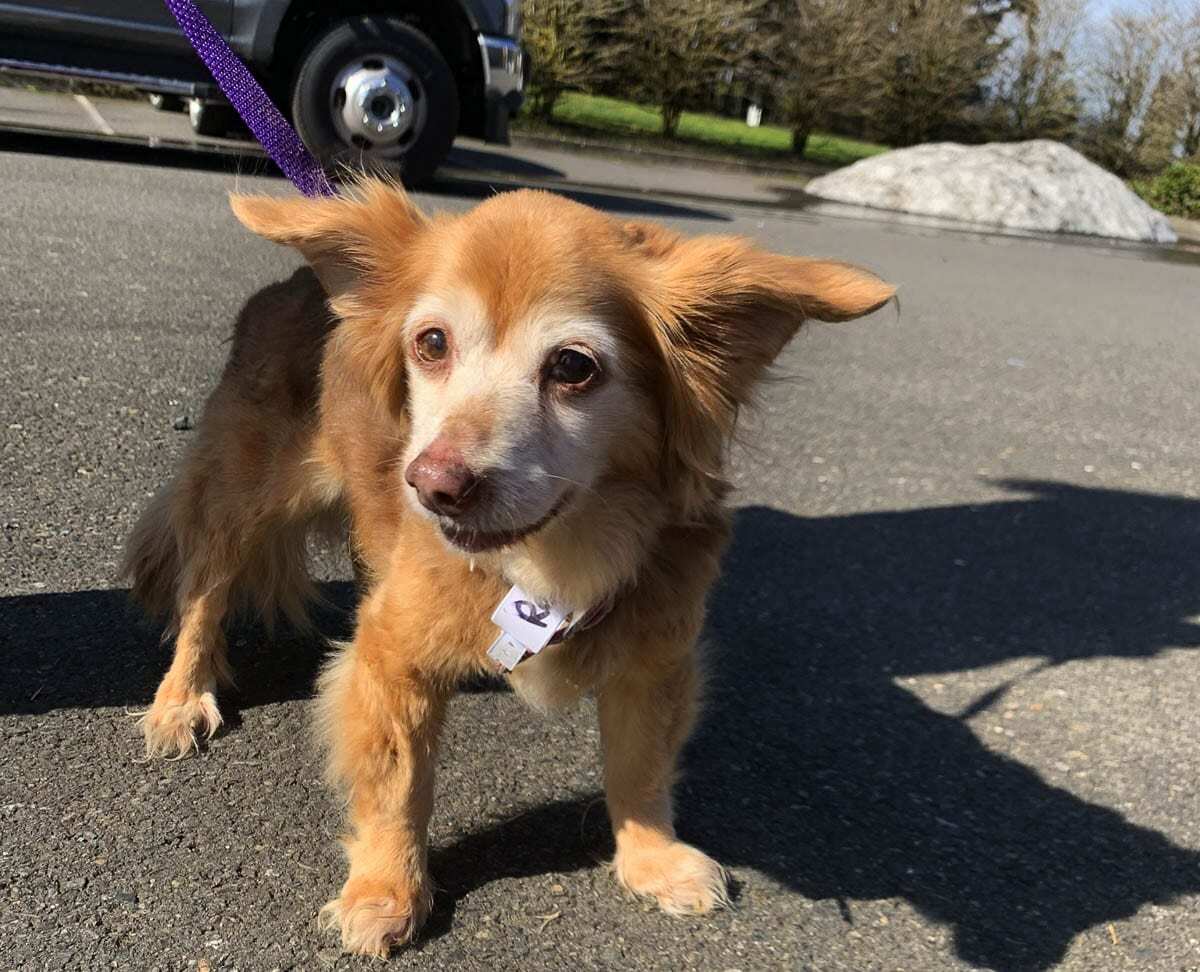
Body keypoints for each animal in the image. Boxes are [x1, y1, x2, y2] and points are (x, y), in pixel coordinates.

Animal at [121, 176, 892, 955]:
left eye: (573, 366)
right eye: (431, 344)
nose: (432, 485)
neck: (550, 560)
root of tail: (299, 282)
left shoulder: (655, 658)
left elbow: (641, 765)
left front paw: (651, 856)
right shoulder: (391, 658)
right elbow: (399, 783)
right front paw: (386, 889)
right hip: (242, 497)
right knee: (204, 594)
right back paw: (181, 697)